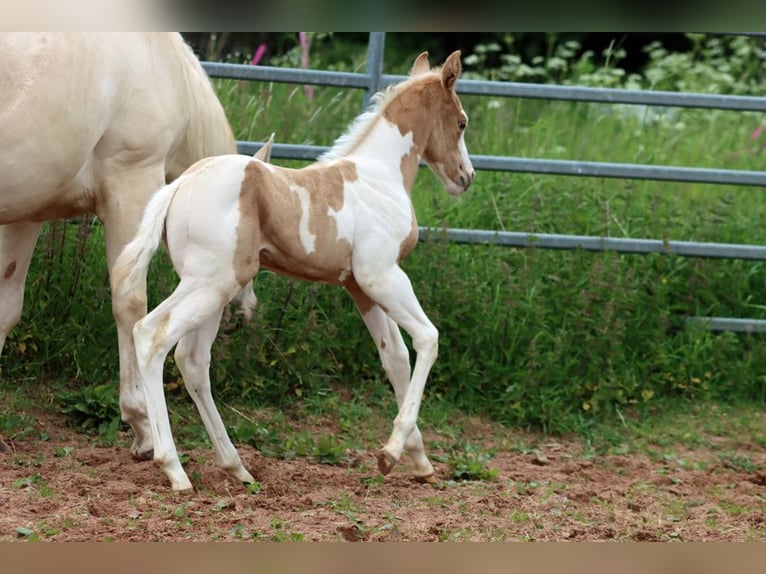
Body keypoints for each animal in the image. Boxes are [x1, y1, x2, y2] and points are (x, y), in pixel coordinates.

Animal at [0, 33, 244, 458]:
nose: (237, 321)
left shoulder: (28, 209)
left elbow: (5, 307)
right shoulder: (132, 180)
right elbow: (131, 304)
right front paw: (142, 421)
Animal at [113, 50, 475, 493]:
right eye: (461, 122)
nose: (466, 177)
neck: (378, 177)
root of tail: (178, 185)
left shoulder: (360, 287)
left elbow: (395, 358)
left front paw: (419, 462)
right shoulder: (383, 275)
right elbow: (427, 339)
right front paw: (390, 453)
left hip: (212, 288)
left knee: (193, 360)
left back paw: (236, 467)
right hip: (210, 284)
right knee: (153, 335)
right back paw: (175, 470)